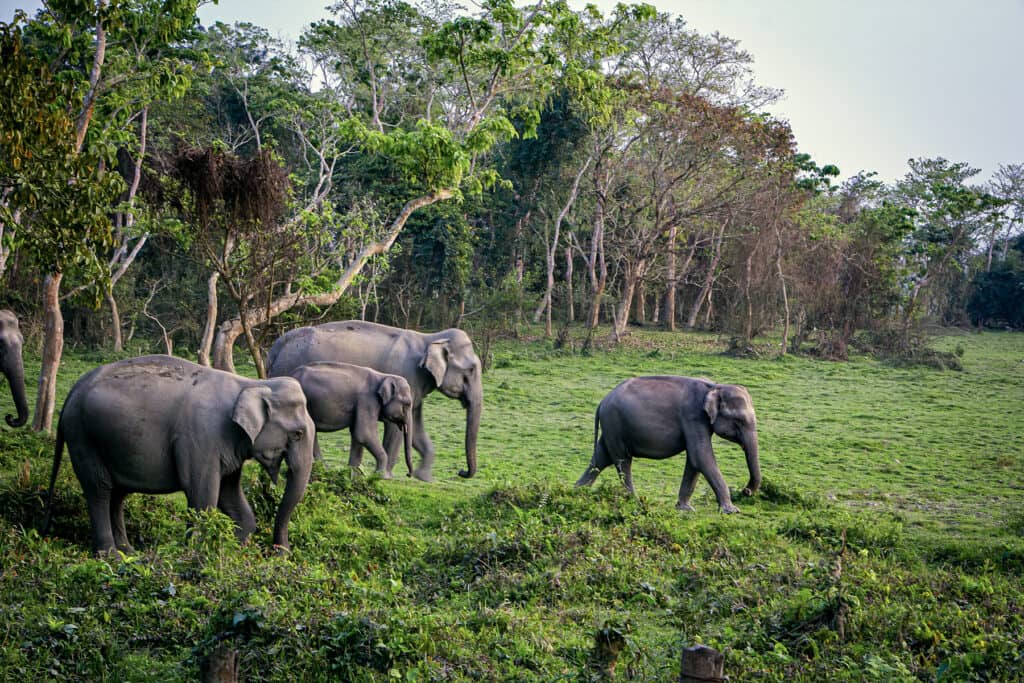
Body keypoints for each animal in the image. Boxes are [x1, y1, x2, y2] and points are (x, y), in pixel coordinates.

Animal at [44, 358, 313, 557]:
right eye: (298, 434)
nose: (279, 553)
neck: (251, 383)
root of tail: (72, 392)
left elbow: (230, 494)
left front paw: (233, 550)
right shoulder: (201, 436)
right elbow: (202, 493)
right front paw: (197, 554)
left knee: (117, 494)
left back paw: (128, 553)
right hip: (82, 435)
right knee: (99, 488)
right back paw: (109, 556)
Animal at [270, 323, 481, 483]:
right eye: (471, 369)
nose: (461, 472)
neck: (430, 338)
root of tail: (275, 347)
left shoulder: (416, 388)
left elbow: (415, 428)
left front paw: (425, 478)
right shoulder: (406, 375)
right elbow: (395, 428)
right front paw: (385, 476)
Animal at [577, 376, 761, 516]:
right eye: (738, 421)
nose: (746, 491)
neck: (715, 386)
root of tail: (602, 401)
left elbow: (694, 460)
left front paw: (685, 509)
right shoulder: (693, 417)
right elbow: (701, 456)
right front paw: (732, 511)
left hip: (611, 426)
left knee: (601, 458)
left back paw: (576, 492)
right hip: (614, 423)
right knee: (622, 461)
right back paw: (633, 501)